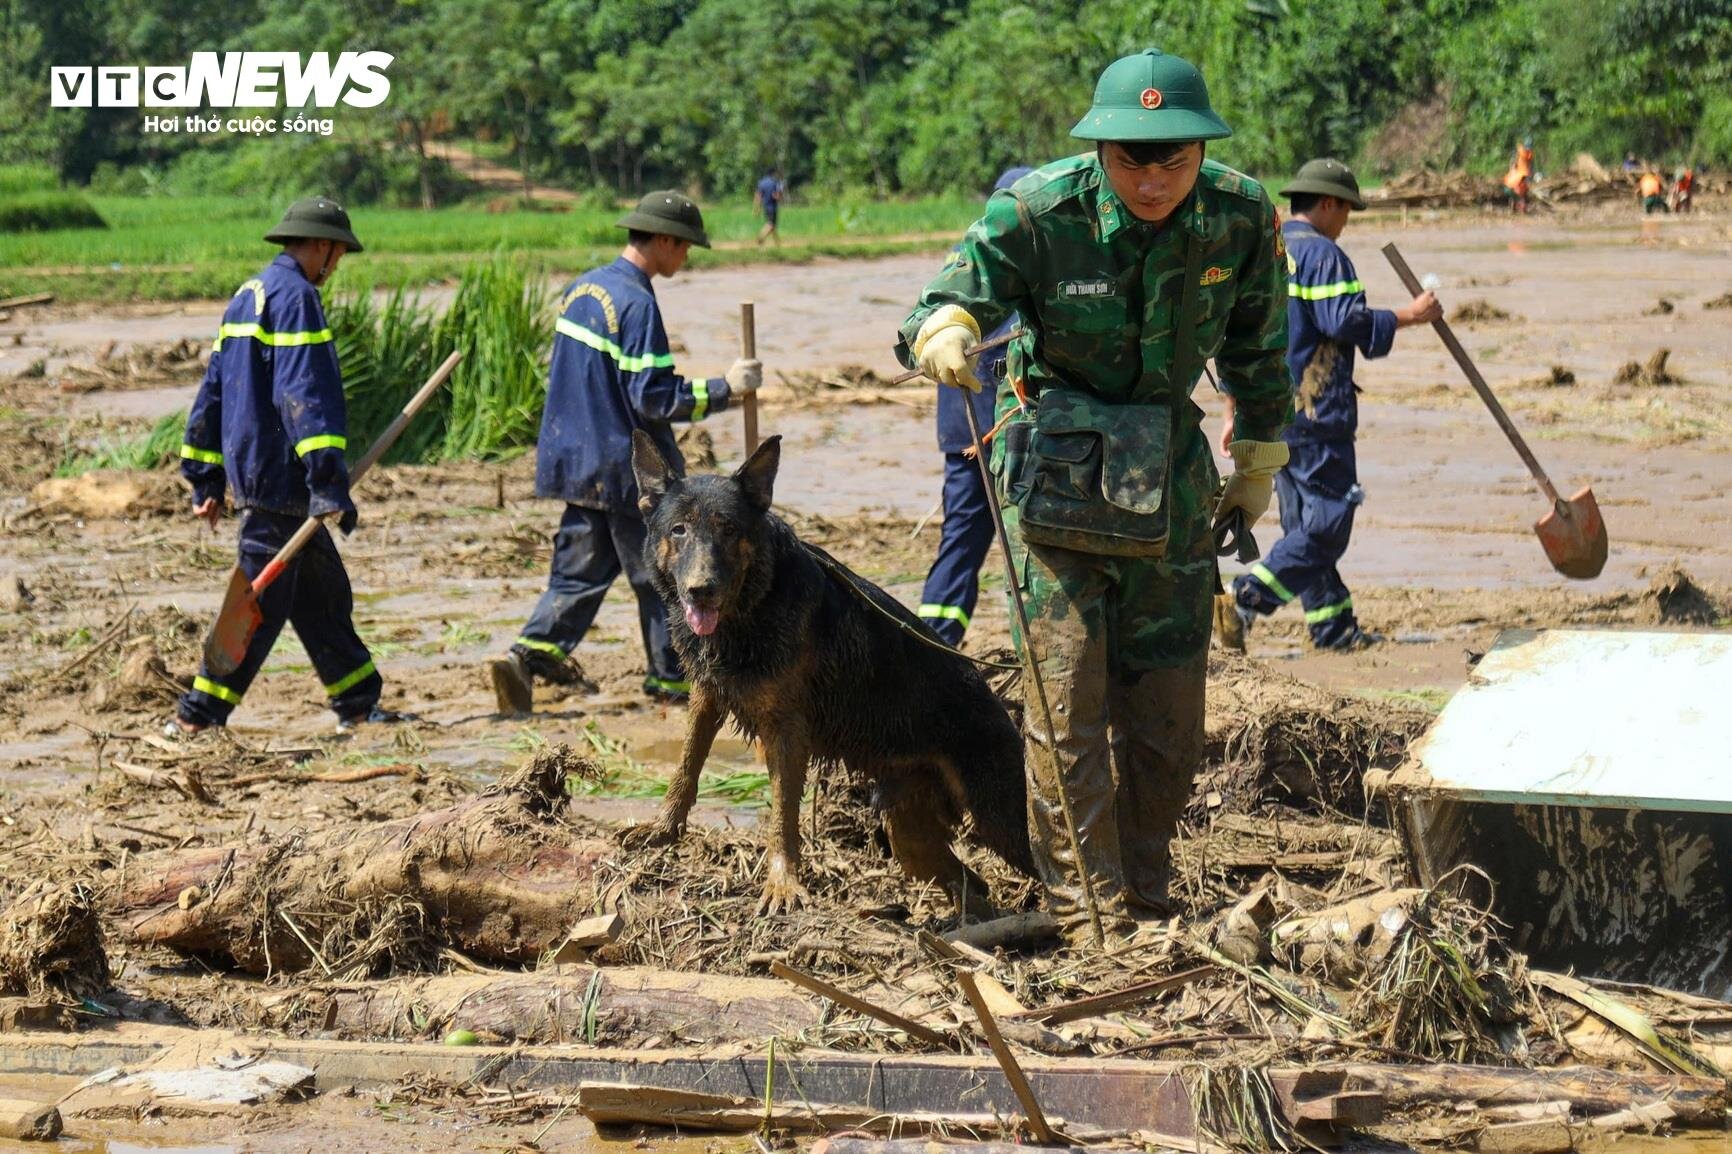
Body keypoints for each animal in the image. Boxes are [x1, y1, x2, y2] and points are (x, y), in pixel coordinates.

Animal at [623, 426, 1025, 914]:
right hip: (908, 833)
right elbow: (687, 764)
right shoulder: (707, 696)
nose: (702, 591)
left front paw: (783, 883)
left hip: (998, 821)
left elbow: (782, 815)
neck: (753, 607)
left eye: (729, 529)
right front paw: (664, 829)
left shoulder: (786, 731)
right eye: (678, 530)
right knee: (971, 883)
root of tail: (1001, 703)